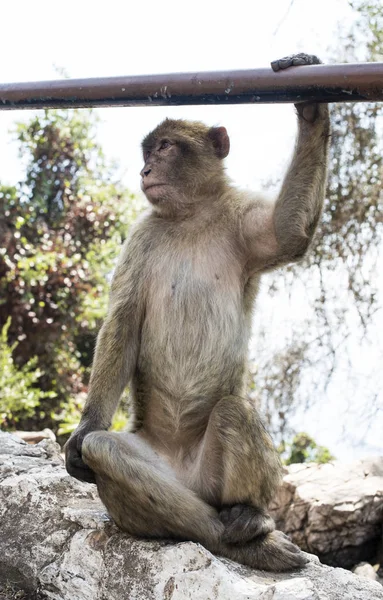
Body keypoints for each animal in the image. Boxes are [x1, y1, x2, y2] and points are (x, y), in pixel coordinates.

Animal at [65, 55, 330, 572]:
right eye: (148, 150)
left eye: (166, 147)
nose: (145, 168)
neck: (190, 214)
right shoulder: (140, 237)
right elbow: (124, 320)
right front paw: (85, 427)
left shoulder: (242, 221)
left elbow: (287, 232)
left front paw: (311, 108)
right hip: (160, 475)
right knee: (108, 450)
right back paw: (230, 539)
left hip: (213, 479)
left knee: (232, 411)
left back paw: (247, 517)